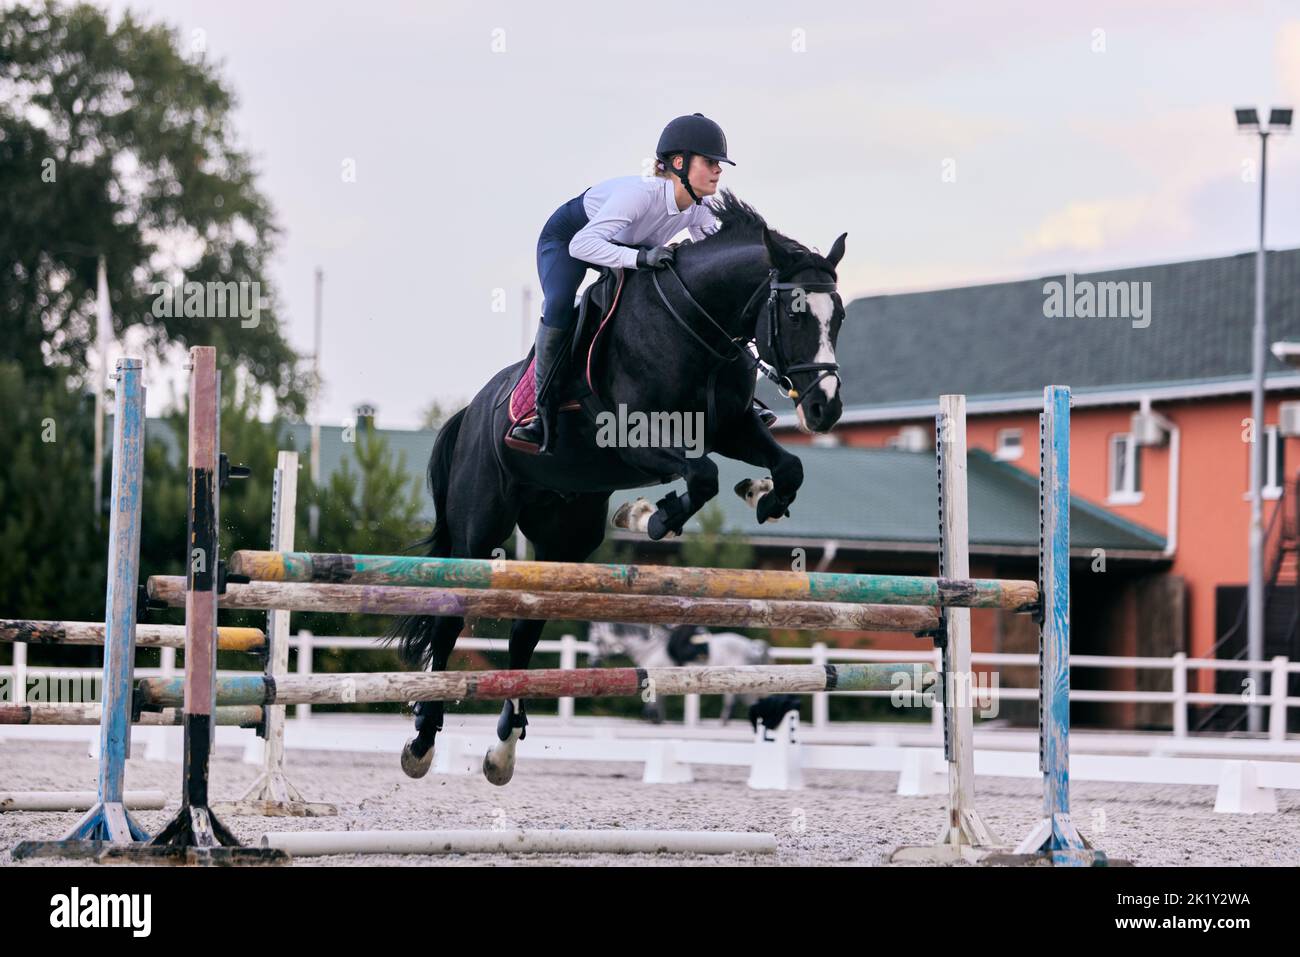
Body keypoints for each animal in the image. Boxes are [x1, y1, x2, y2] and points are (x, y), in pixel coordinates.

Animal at [390, 192, 847, 785]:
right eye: (794, 314)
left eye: (839, 316)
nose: (825, 408)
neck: (696, 327)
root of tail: (471, 412)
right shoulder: (633, 434)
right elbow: (702, 475)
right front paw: (651, 516)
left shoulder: (732, 428)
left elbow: (786, 466)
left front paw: (762, 495)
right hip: (478, 533)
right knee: (451, 617)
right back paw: (422, 740)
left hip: (565, 540)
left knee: (524, 630)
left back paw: (503, 750)